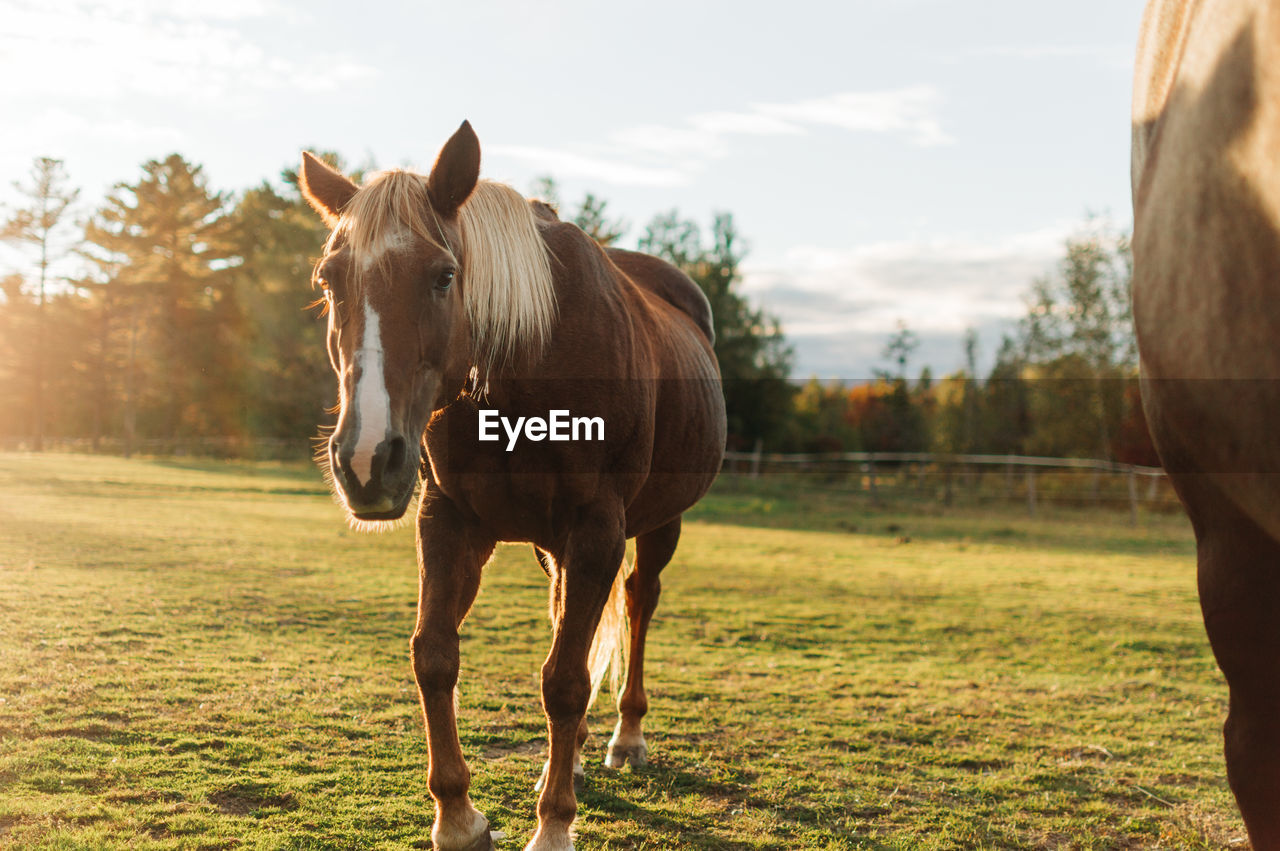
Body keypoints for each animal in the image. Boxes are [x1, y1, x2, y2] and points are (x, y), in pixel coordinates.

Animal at [294, 120, 727, 849]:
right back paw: (570, 758)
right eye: (330, 280)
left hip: (657, 524)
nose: (368, 459)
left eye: (444, 276)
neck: (527, 365)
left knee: (638, 604)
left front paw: (553, 825)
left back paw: (624, 738)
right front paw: (457, 816)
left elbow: (566, 679)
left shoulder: (598, 529)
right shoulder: (449, 521)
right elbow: (436, 656)